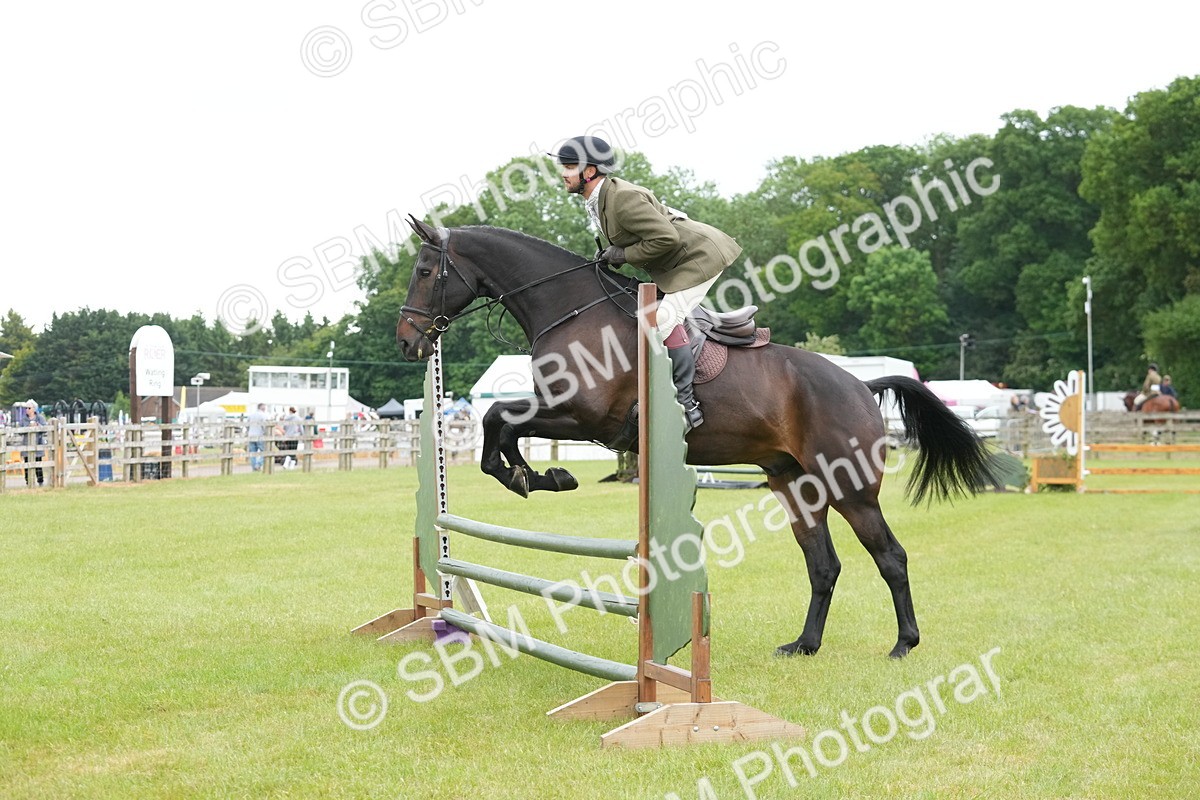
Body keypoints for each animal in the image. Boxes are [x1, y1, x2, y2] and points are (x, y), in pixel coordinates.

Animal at [396, 218, 994, 659]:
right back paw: (804, 644)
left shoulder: (584, 418)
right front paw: (531, 473)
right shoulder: (565, 415)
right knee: (823, 564)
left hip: (850, 488)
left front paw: (537, 475)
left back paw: (903, 644)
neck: (570, 310)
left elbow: (501, 418)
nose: (406, 342)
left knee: (891, 556)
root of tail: (860, 386)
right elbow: (500, 422)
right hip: (794, 484)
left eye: (425, 270)